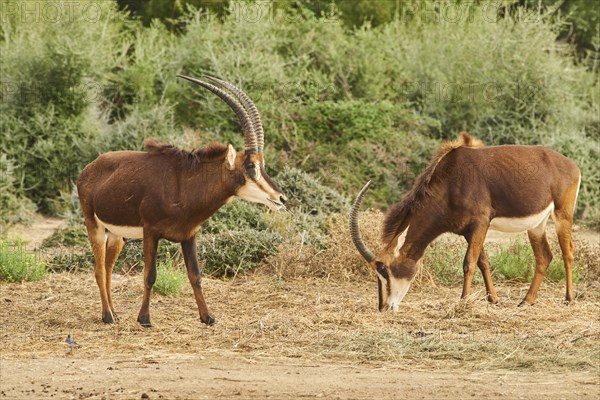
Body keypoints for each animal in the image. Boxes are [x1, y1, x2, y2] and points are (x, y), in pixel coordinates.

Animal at [76, 76, 288, 328]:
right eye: (250, 165)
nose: (281, 198)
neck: (184, 184)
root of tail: (87, 169)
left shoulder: (189, 235)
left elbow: (195, 275)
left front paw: (207, 317)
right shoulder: (151, 232)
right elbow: (150, 274)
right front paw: (144, 319)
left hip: (117, 235)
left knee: (108, 268)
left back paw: (113, 313)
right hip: (95, 227)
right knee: (99, 269)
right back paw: (107, 316)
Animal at [352, 133, 580, 310]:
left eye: (384, 269)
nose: (384, 307)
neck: (450, 179)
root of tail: (571, 165)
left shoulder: (481, 222)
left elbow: (468, 263)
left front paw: (463, 301)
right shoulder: (468, 231)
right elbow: (482, 262)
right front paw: (493, 300)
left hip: (563, 215)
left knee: (568, 253)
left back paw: (569, 299)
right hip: (536, 226)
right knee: (544, 256)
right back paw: (526, 301)